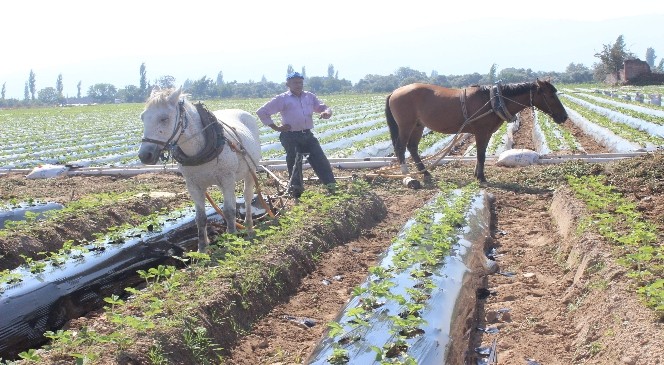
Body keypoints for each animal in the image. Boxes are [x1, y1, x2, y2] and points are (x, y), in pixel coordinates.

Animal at [138, 88, 262, 252]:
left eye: (164, 119)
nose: (144, 155)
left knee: (248, 197)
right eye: (142, 117)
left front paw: (231, 240)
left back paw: (249, 228)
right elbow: (200, 218)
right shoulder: (193, 185)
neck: (199, 149)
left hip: (250, 170)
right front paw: (202, 248)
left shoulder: (227, 179)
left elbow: (229, 212)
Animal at [386, 80, 568, 182]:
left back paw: (426, 174)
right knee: (401, 148)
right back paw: (407, 175)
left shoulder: (486, 133)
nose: (564, 116)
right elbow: (480, 155)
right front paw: (481, 177)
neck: (493, 100)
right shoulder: (481, 132)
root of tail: (394, 92)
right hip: (406, 125)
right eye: (551, 95)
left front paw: (477, 174)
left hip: (418, 126)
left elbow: (482, 154)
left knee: (412, 148)